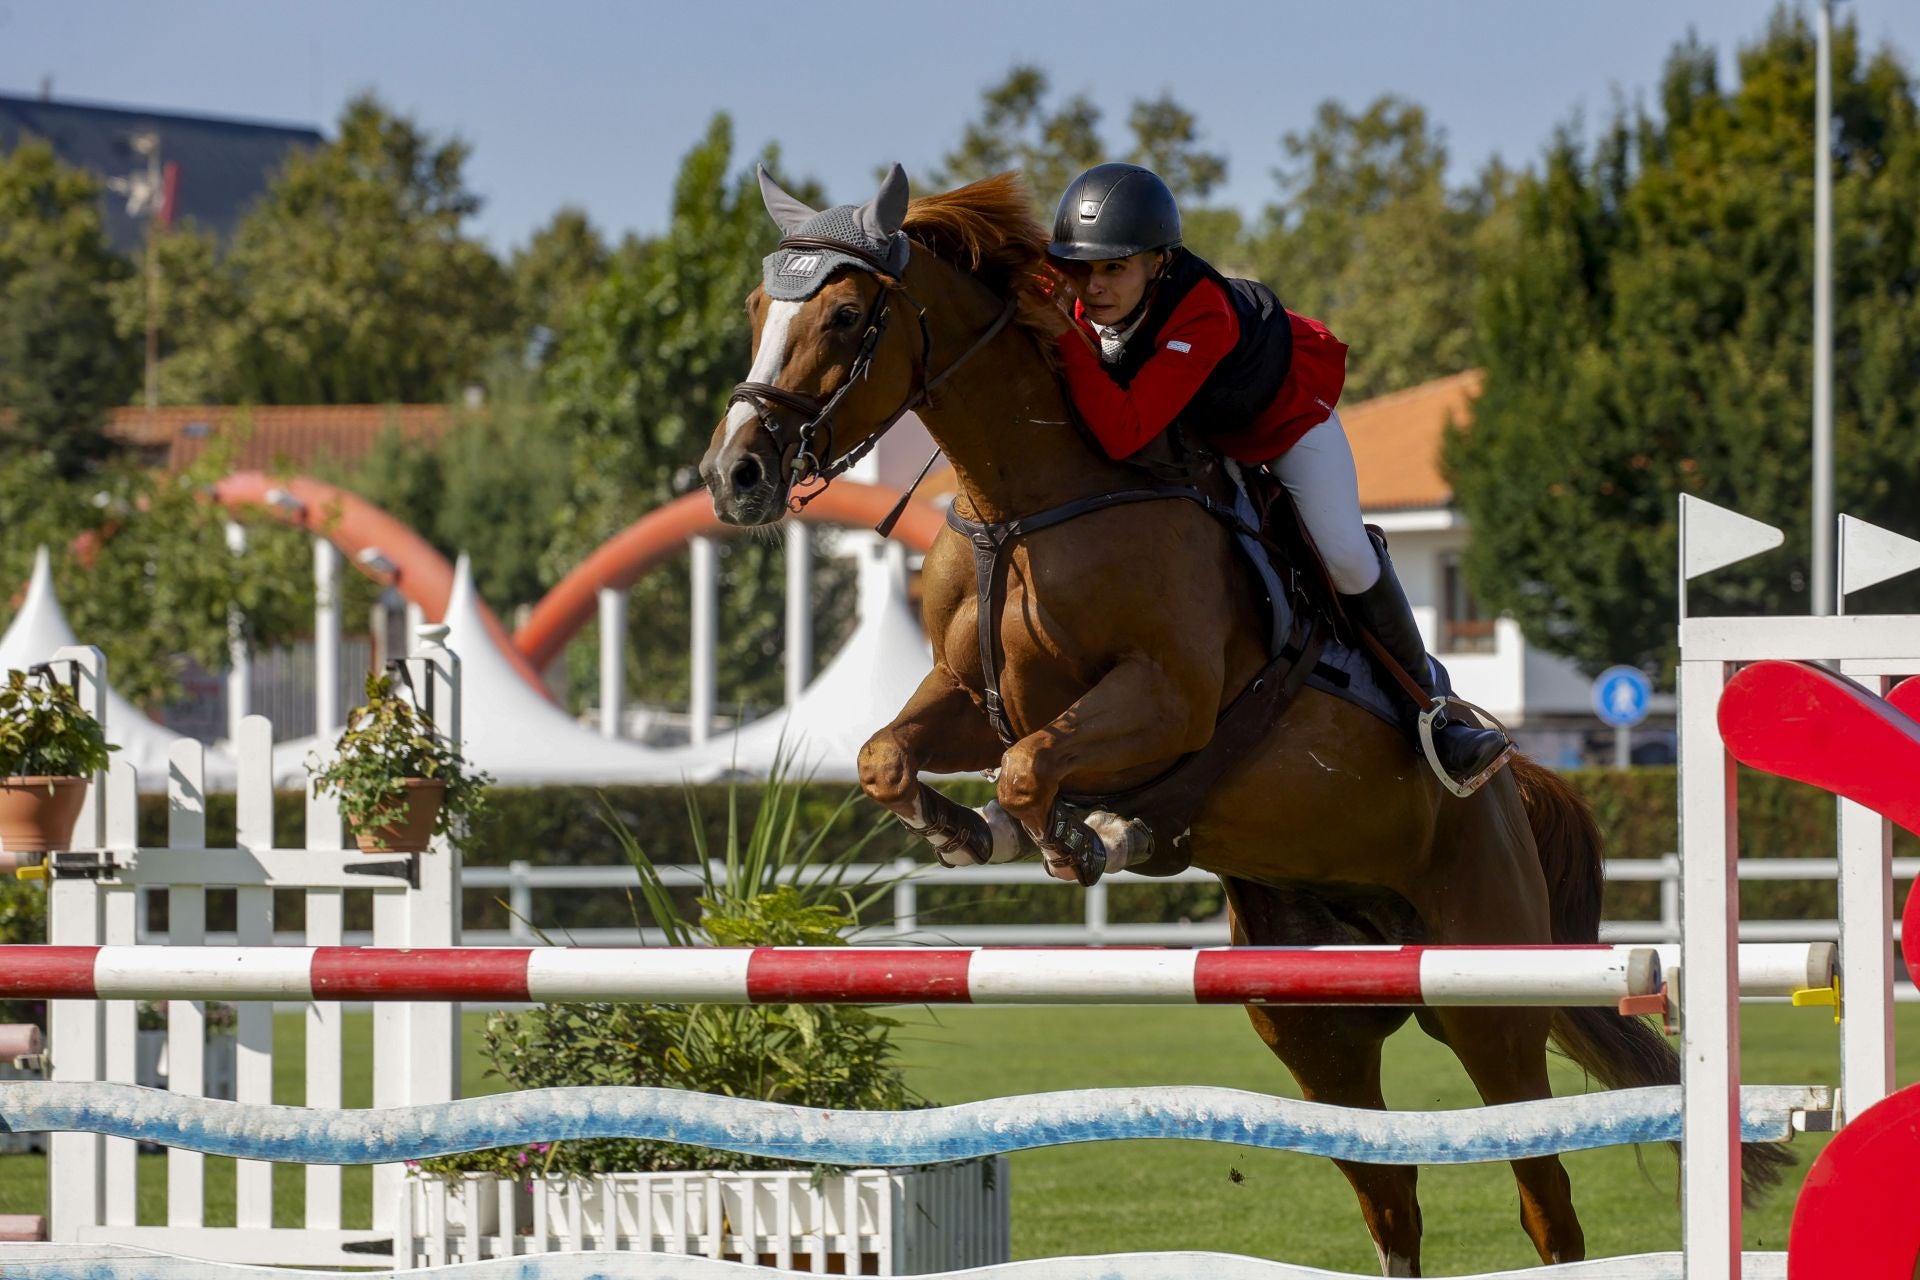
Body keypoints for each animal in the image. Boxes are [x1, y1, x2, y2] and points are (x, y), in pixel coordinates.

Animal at [695, 165, 1781, 1274]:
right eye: (755, 310)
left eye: (844, 314)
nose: (734, 478)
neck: (1026, 504)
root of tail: (1513, 788)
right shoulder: (965, 694)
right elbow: (890, 755)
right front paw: (973, 832)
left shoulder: (1165, 700)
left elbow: (1033, 764)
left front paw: (1076, 838)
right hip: (1316, 1033)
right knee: (1392, 1203)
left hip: (1488, 1003)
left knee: (1548, 1204)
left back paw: (1443, 744)